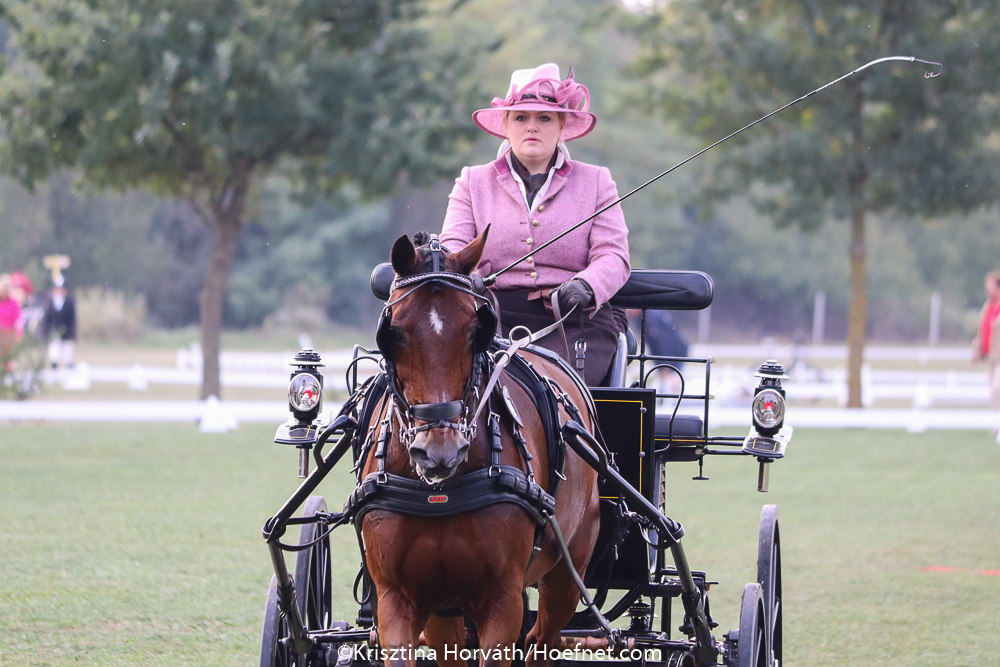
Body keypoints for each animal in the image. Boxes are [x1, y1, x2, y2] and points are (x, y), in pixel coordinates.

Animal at [356, 231, 596, 667]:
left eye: (474, 331)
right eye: (393, 332)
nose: (439, 452)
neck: (439, 491)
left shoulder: (502, 599)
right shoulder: (397, 597)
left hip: (567, 576)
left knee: (543, 639)